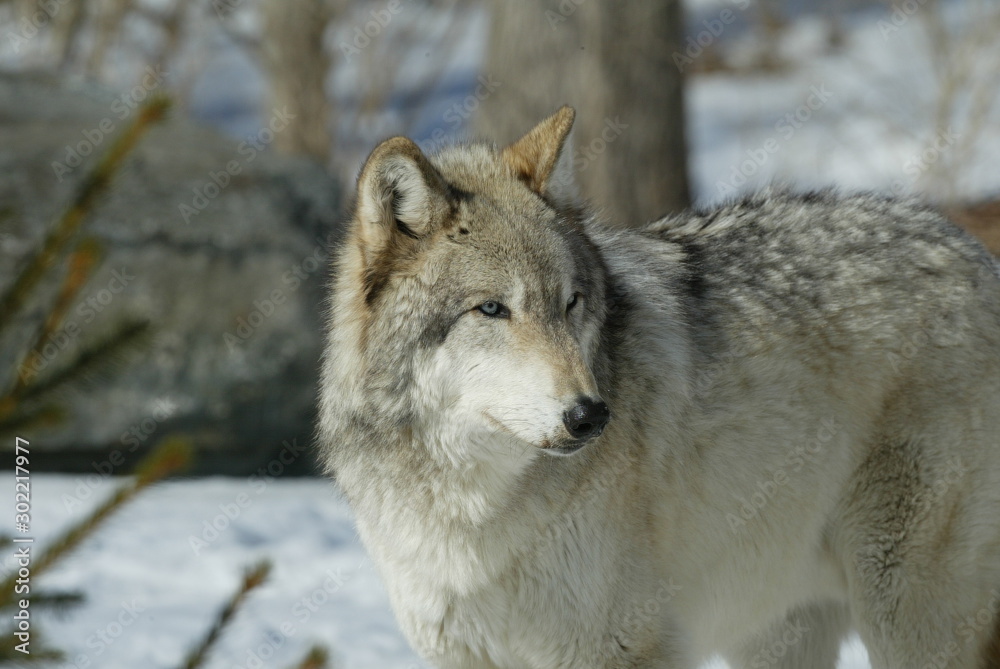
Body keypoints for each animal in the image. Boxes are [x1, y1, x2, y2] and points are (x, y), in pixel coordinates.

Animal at [318, 107, 1000, 664]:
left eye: (571, 303)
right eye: (491, 310)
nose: (591, 415)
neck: (469, 508)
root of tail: (976, 253)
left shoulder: (623, 648)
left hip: (905, 614)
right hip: (779, 630)